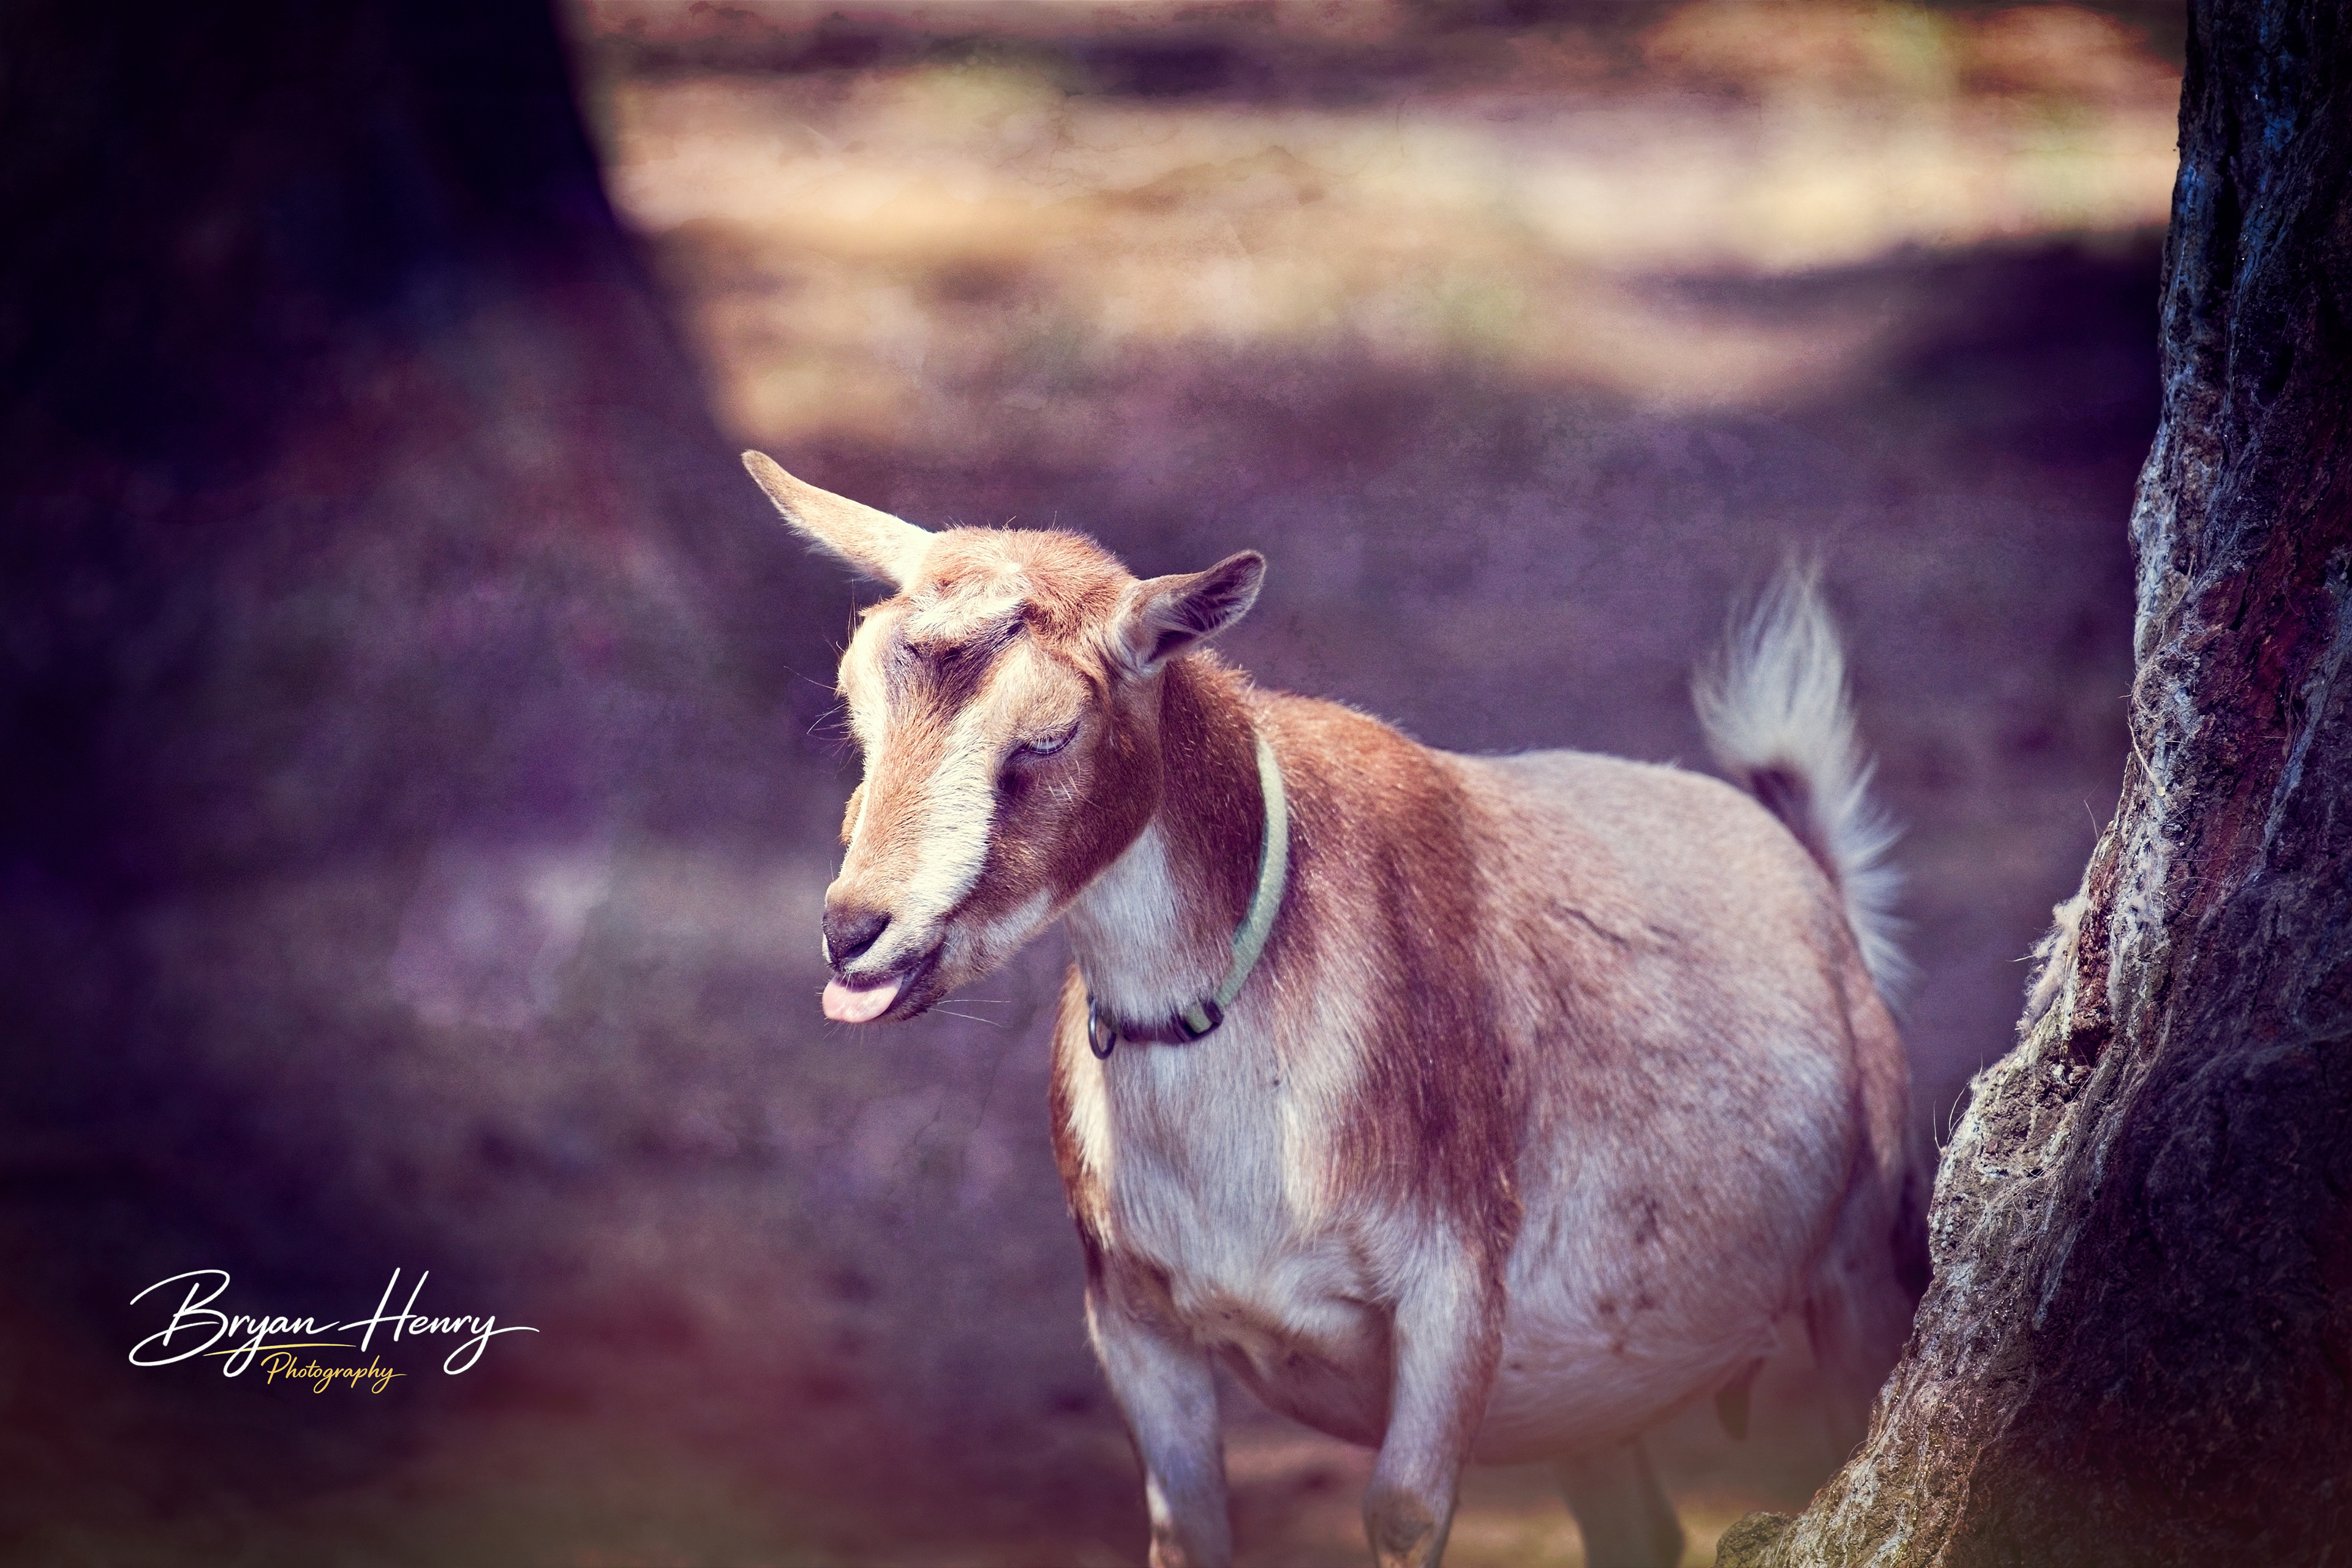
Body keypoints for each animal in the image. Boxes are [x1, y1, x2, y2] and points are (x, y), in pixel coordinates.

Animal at [743, 450, 1926, 1568]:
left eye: (1048, 734)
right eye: (855, 701)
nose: (855, 932)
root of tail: (1814, 878)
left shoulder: (1454, 1294)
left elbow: (1401, 1512)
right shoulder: (1131, 1318)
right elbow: (1184, 1529)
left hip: (1860, 1262)